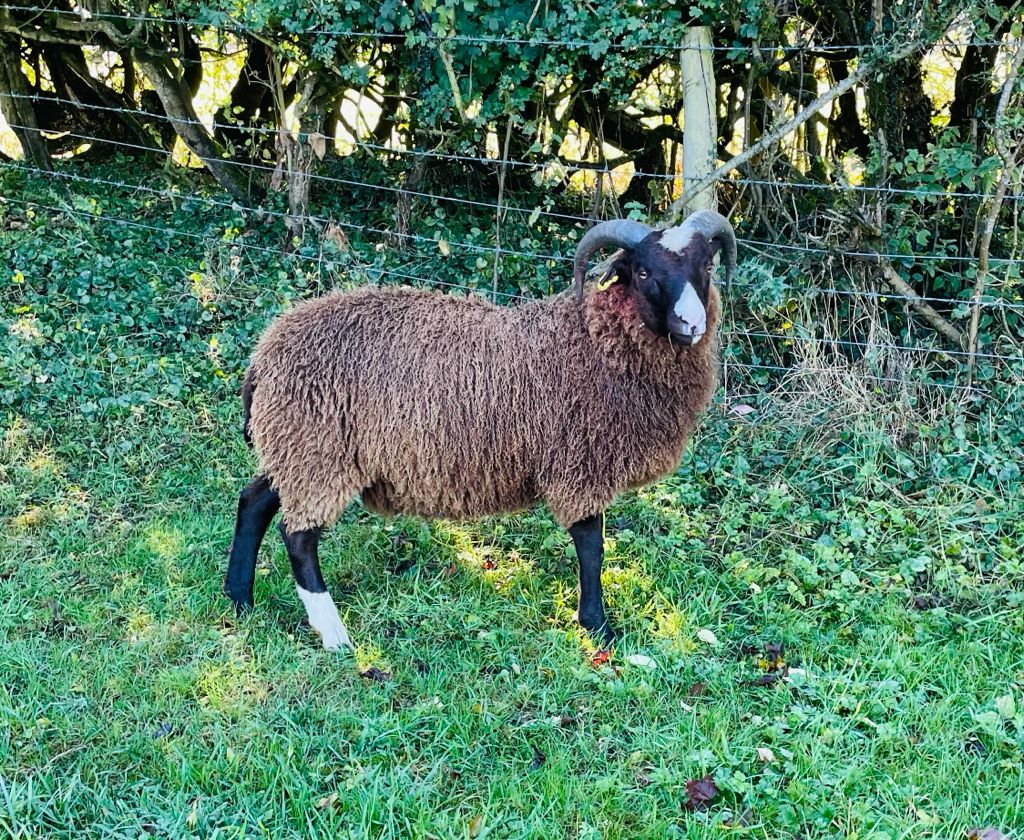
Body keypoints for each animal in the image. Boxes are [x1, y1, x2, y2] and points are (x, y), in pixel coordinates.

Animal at [225, 210, 736, 650]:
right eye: (644, 273)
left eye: (707, 265)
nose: (692, 323)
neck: (592, 341)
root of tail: (265, 352)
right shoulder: (579, 462)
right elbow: (591, 545)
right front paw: (598, 626)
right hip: (317, 450)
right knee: (298, 536)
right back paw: (333, 633)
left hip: (296, 446)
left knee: (255, 501)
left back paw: (239, 599)